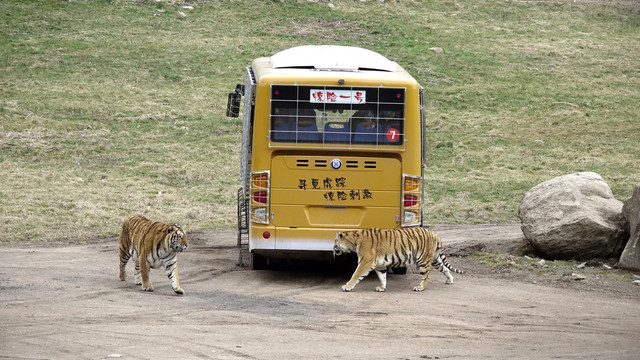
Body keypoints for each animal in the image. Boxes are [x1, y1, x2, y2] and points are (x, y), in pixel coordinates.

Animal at [332, 228, 462, 292]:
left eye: (335, 241)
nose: (333, 248)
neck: (354, 240)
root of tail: (434, 233)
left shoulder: (365, 262)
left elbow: (355, 275)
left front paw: (347, 286)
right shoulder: (379, 264)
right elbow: (382, 277)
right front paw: (382, 287)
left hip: (423, 260)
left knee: (426, 277)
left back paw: (419, 288)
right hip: (435, 259)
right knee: (445, 268)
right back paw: (449, 280)